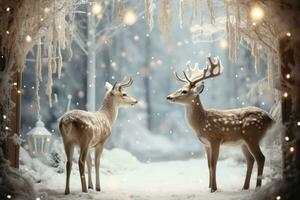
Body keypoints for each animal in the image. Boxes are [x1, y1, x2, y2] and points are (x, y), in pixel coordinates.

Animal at [166, 56, 274, 192]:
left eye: (184, 91)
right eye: (179, 88)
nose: (169, 97)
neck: (201, 122)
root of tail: (270, 118)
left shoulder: (215, 139)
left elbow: (213, 164)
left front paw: (214, 189)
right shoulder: (205, 144)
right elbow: (208, 165)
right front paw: (209, 187)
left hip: (253, 135)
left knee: (261, 158)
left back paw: (257, 188)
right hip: (243, 142)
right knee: (250, 159)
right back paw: (244, 187)